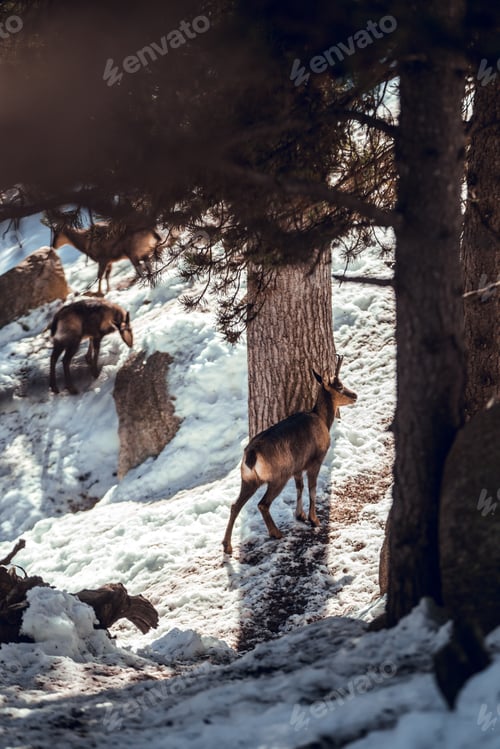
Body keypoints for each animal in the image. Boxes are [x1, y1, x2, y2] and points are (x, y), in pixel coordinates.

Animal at [222, 356, 357, 555]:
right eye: (339, 386)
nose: (355, 395)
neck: (322, 420)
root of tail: (251, 456)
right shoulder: (315, 460)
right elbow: (312, 489)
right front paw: (314, 519)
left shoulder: (297, 467)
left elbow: (299, 487)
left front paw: (299, 514)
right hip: (278, 476)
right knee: (262, 503)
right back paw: (276, 533)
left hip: (248, 479)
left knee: (235, 505)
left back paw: (227, 545)